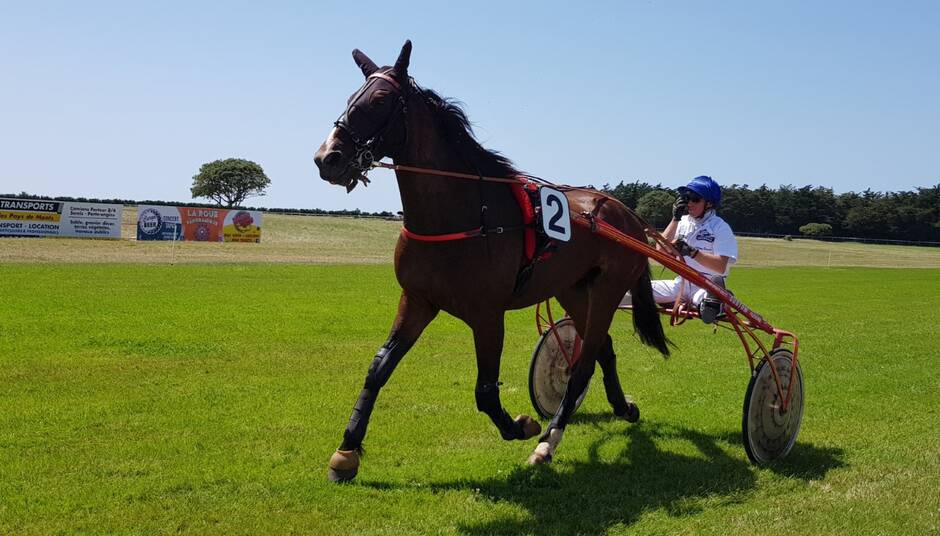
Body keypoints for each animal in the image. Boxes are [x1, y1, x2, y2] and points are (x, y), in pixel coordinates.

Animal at [316, 38, 668, 482]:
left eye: (379, 100)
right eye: (351, 99)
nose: (327, 158)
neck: (463, 212)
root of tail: (627, 215)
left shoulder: (487, 313)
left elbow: (485, 391)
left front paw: (522, 426)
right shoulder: (417, 300)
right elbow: (378, 368)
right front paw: (346, 451)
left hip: (607, 289)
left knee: (585, 363)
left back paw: (548, 442)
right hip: (573, 289)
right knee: (601, 347)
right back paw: (623, 408)